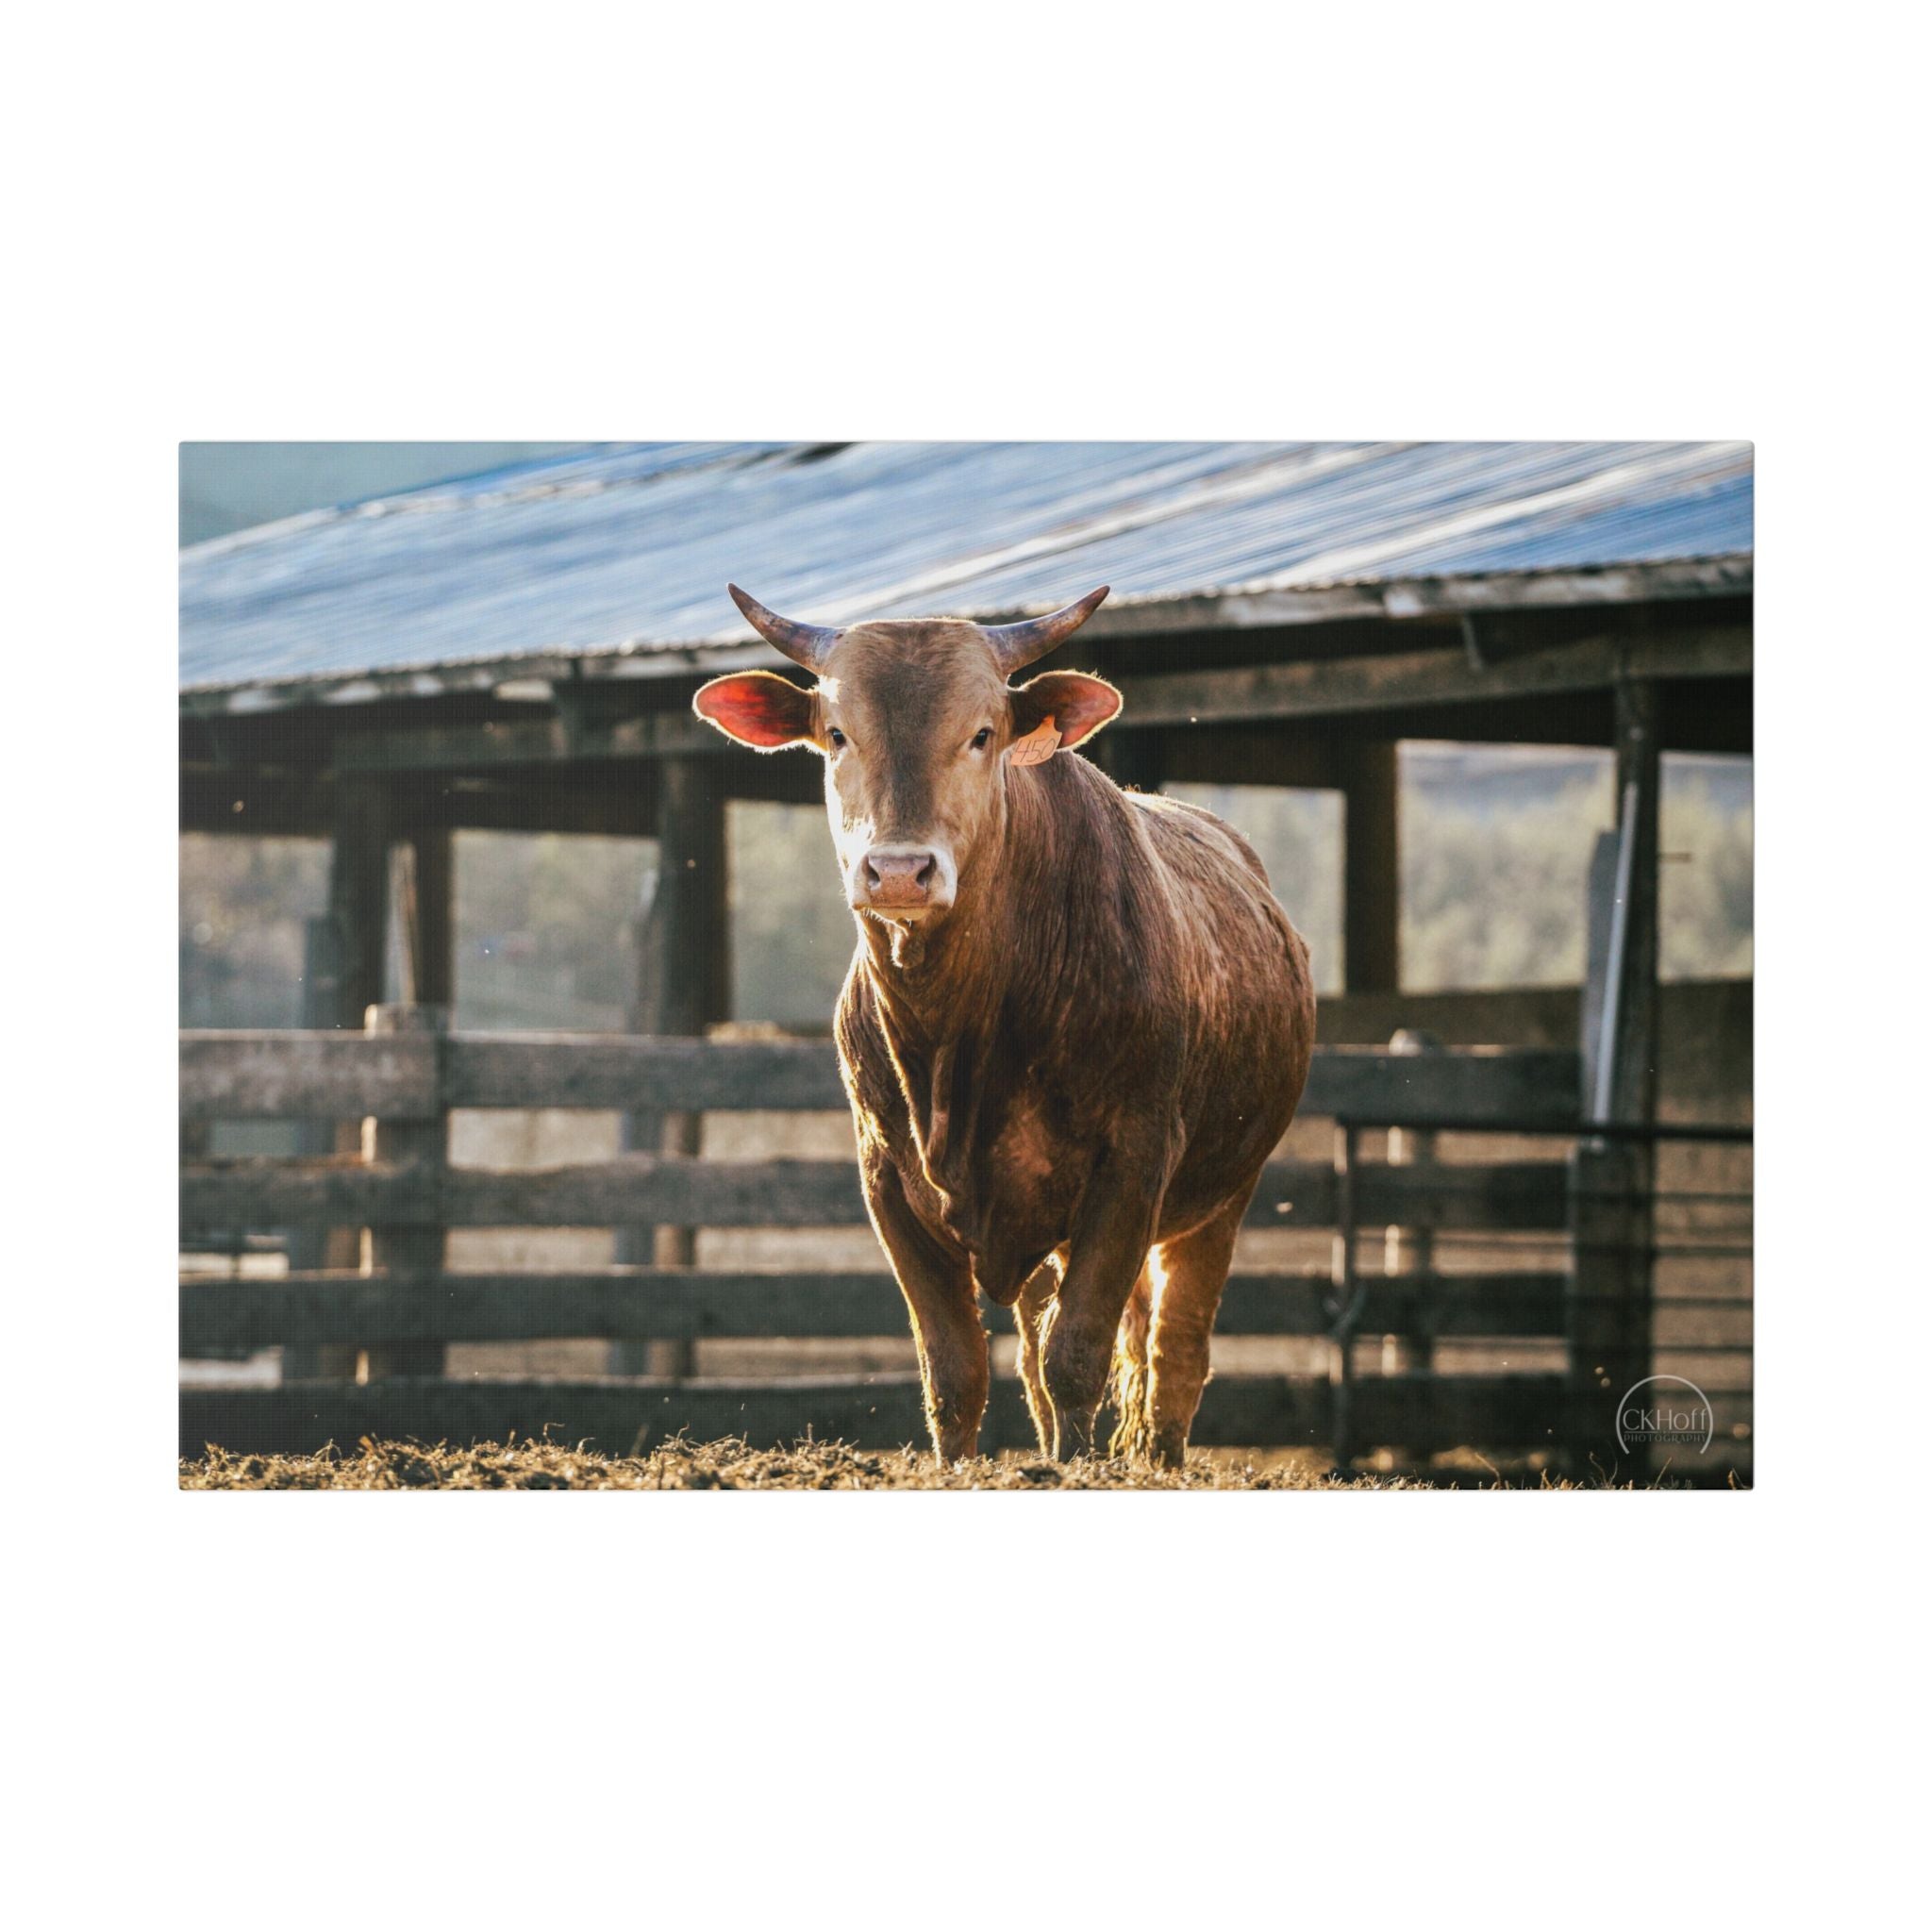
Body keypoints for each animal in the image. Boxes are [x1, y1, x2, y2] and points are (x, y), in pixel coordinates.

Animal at [693, 584, 1316, 1467]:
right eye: (837, 734)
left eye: (982, 734)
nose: (898, 871)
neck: (958, 1037)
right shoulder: (887, 1181)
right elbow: (956, 1370)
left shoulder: (1132, 1164)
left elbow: (1078, 1354)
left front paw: (1078, 1466)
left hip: (1223, 1195)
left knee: (1174, 1350)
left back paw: (1154, 1454)